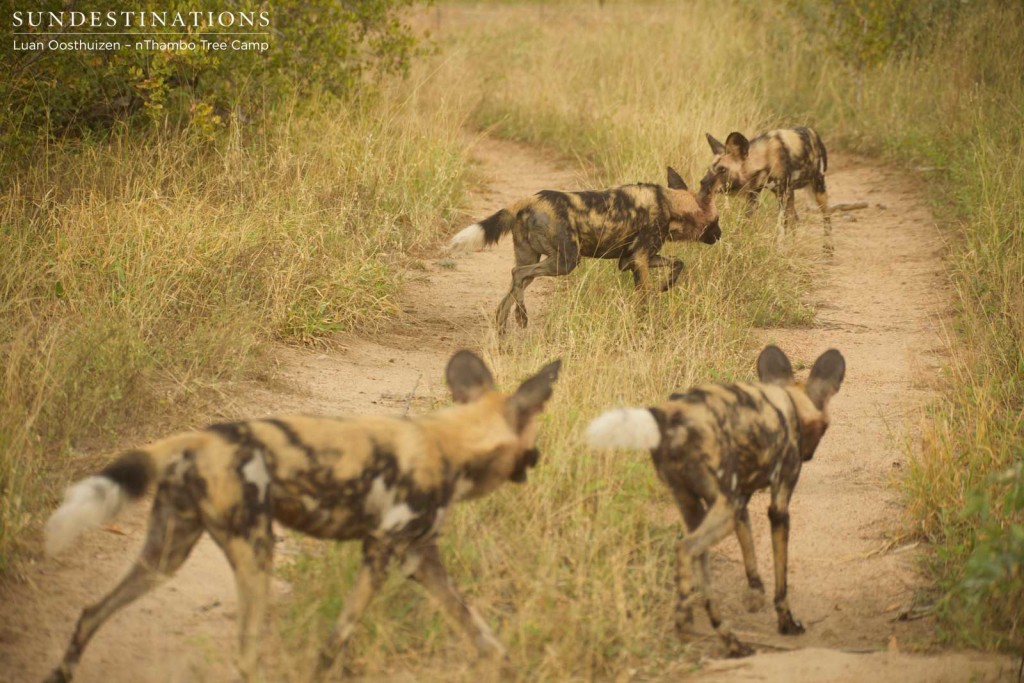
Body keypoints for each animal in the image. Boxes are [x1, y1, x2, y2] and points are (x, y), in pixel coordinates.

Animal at [41, 350, 561, 679]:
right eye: (533, 440)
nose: (539, 459)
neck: (451, 443)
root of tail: (200, 437)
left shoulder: (421, 560)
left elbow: (479, 629)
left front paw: (513, 670)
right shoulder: (380, 553)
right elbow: (336, 642)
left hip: (165, 554)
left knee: (89, 614)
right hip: (255, 551)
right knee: (246, 655)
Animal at [446, 167, 720, 333]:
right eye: (716, 220)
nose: (720, 235)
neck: (670, 204)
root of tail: (530, 199)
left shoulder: (630, 259)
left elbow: (678, 263)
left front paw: (665, 286)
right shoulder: (639, 259)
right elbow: (645, 297)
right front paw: (647, 321)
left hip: (535, 258)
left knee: (512, 289)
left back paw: (504, 333)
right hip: (565, 262)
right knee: (517, 274)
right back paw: (522, 318)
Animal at [585, 348, 847, 655]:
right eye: (824, 428)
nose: (808, 454)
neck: (790, 403)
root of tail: (672, 418)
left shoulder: (741, 503)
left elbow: (750, 555)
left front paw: (755, 593)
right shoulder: (777, 505)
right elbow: (781, 580)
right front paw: (787, 622)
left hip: (700, 507)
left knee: (698, 564)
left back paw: (722, 635)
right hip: (721, 510)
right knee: (685, 549)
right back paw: (696, 630)